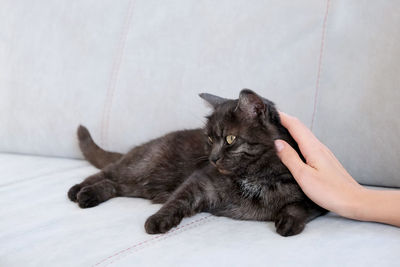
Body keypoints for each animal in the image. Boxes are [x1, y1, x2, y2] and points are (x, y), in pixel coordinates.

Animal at [68, 89, 324, 237]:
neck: (254, 176)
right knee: (109, 173)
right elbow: (178, 199)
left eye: (230, 139)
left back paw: (88, 195)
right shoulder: (202, 181)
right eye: (209, 139)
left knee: (116, 185)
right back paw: (79, 190)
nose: (212, 158)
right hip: (142, 166)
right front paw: (158, 220)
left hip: (141, 183)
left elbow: (299, 206)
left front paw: (288, 221)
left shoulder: (313, 194)